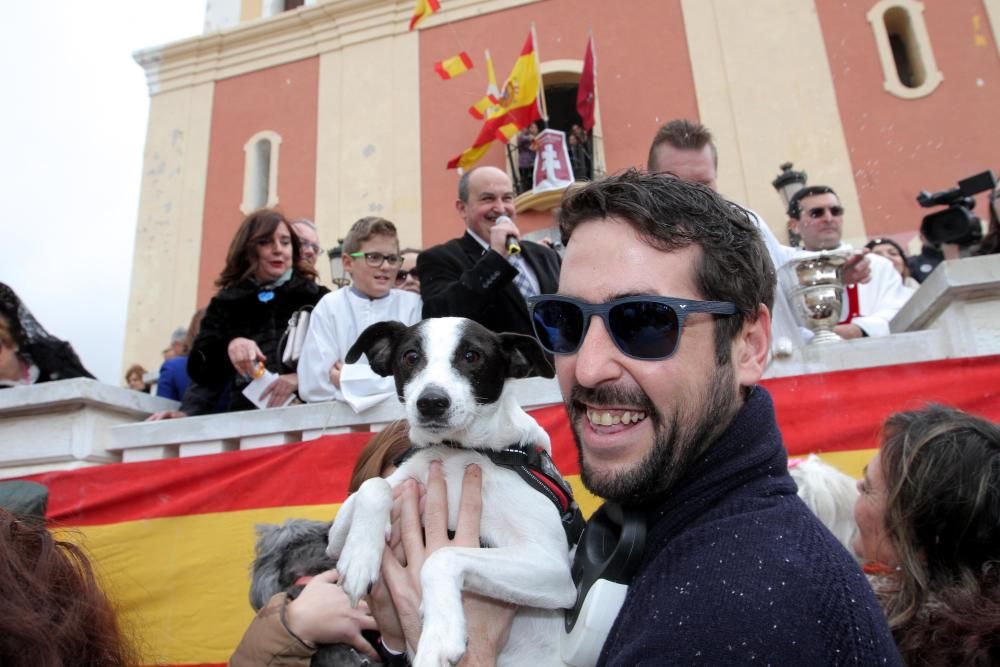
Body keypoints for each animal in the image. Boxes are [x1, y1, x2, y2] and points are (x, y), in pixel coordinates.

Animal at [328, 318, 580, 667]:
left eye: (471, 356)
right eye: (410, 357)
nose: (431, 402)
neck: (459, 453)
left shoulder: (552, 567)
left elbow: (442, 557)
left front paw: (438, 635)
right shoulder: (340, 532)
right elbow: (372, 486)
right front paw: (359, 558)